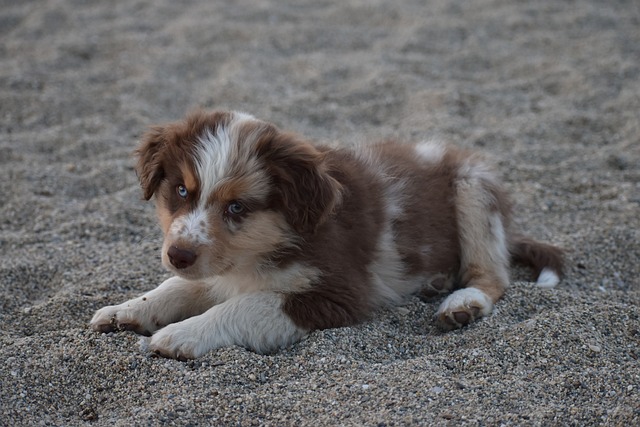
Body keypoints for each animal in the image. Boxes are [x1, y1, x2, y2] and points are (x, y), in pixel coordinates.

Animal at [89, 110, 560, 362]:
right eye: (182, 191)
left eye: (237, 206)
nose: (179, 254)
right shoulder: (217, 269)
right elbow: (173, 288)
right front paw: (124, 310)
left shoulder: (338, 292)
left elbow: (245, 306)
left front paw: (182, 334)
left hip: (473, 187)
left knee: (492, 274)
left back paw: (463, 302)